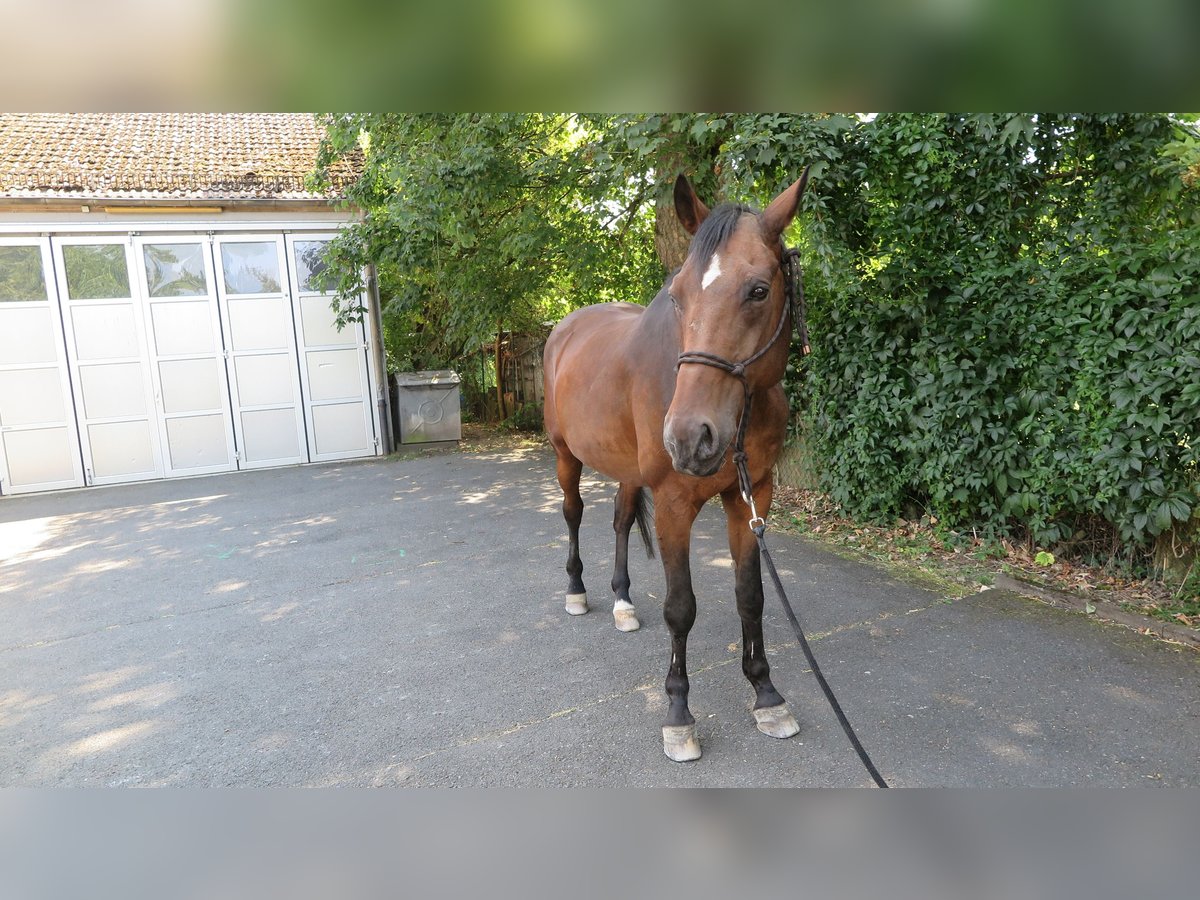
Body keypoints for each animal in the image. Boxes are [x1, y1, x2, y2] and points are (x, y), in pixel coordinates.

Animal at [543, 169, 810, 761]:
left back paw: (622, 602)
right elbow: (681, 607)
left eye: (759, 289)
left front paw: (767, 694)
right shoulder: (672, 504)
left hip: (625, 469)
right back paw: (577, 592)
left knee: (620, 521)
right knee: (573, 514)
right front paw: (679, 714)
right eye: (678, 295)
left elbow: (750, 596)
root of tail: (564, 327)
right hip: (565, 455)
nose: (689, 438)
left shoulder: (751, 495)